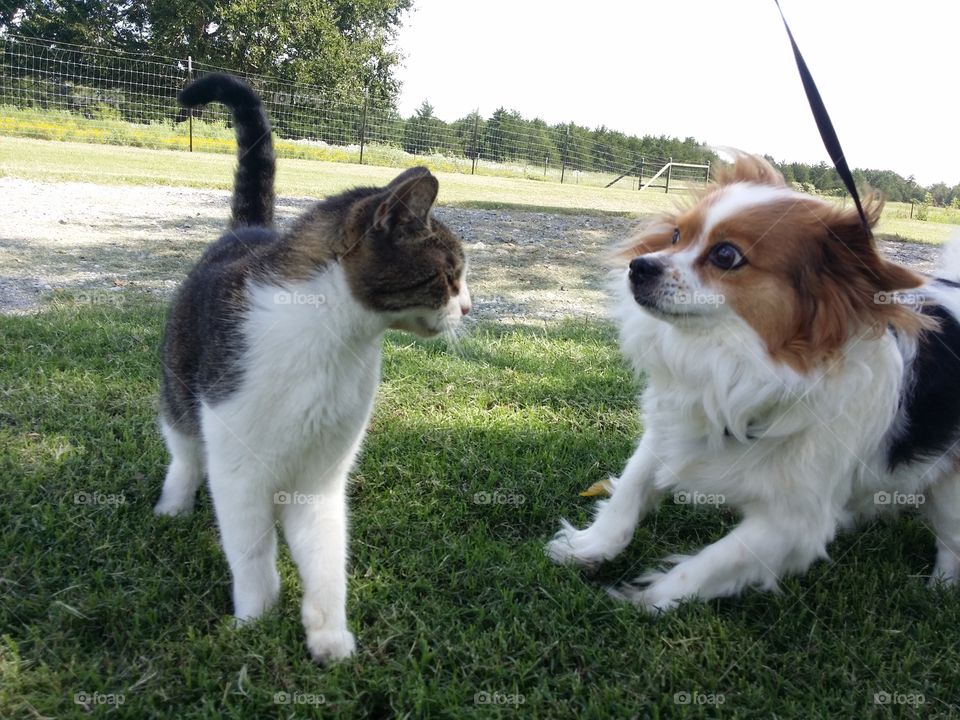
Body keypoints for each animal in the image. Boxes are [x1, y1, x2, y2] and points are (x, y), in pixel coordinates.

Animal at [156, 74, 470, 664]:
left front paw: (328, 634)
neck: (334, 344)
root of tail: (248, 231)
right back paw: (173, 503)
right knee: (184, 450)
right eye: (450, 275)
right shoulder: (240, 472)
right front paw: (255, 619)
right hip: (180, 387)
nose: (468, 308)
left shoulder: (322, 478)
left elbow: (326, 558)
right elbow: (252, 553)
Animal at [548, 155, 960, 612]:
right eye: (676, 236)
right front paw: (589, 547)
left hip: (952, 493)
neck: (729, 359)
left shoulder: (793, 522)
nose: (640, 266)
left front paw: (646, 601)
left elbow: (706, 565)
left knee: (952, 542)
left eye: (725, 255)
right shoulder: (672, 429)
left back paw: (941, 588)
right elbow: (629, 492)